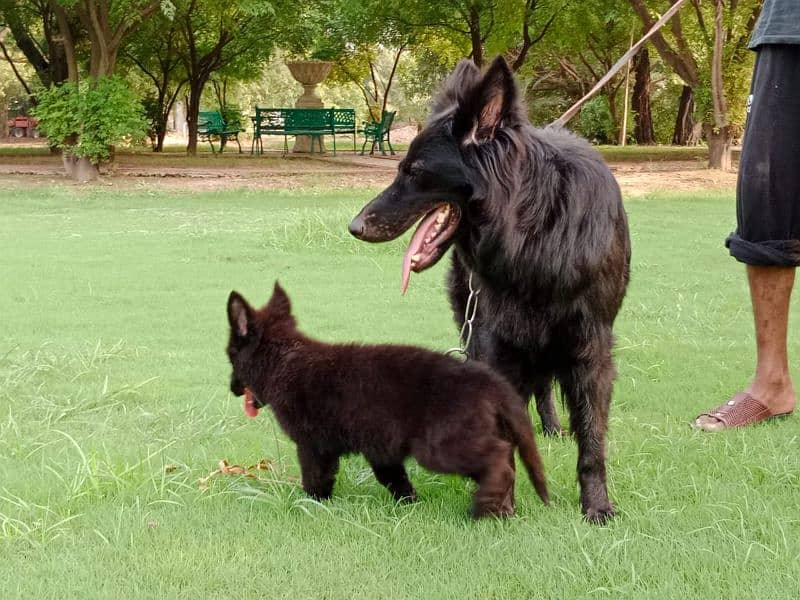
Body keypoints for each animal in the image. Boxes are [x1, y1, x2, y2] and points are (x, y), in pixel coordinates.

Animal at [225, 284, 552, 516]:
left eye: (230, 355)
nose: (232, 388)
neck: (284, 360)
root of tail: (489, 381)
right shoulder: (380, 447)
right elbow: (394, 479)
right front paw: (409, 505)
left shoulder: (313, 445)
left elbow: (316, 478)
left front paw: (313, 503)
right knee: (507, 459)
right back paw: (501, 509)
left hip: (441, 446)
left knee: (499, 457)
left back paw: (483, 506)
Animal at [350, 57, 632, 524]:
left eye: (415, 172)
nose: (354, 226)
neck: (536, 234)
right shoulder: (494, 340)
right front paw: (500, 504)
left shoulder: (591, 347)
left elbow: (592, 440)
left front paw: (597, 506)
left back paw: (552, 426)